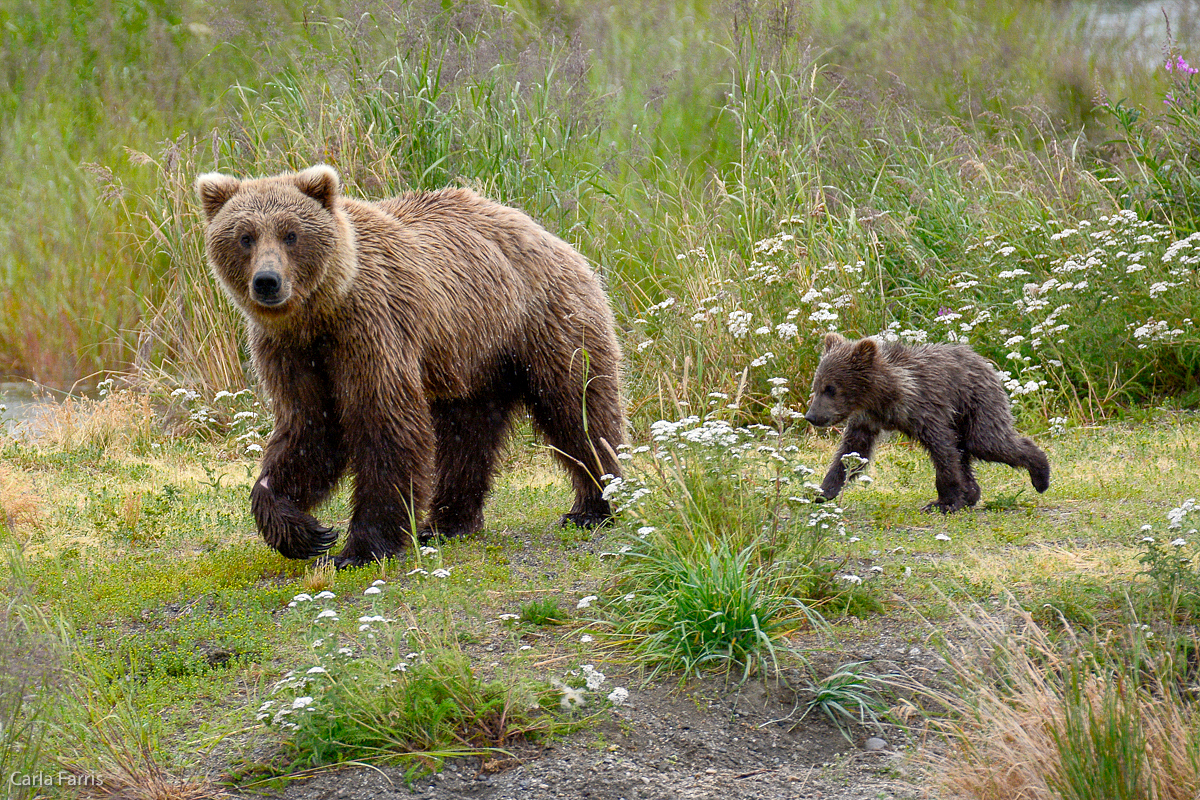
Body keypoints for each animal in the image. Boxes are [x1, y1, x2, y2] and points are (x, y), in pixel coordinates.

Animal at [194, 165, 628, 568]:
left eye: (291, 234)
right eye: (245, 236)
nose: (267, 281)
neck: (321, 314)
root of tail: (550, 236)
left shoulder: (371, 329)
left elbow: (386, 424)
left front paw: (361, 548)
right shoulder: (291, 352)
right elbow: (308, 428)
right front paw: (304, 531)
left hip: (543, 321)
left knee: (577, 407)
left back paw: (596, 505)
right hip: (473, 357)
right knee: (466, 435)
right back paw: (448, 522)